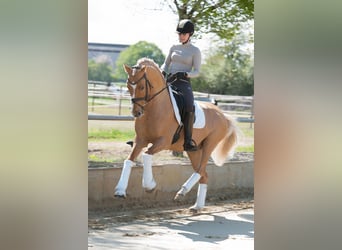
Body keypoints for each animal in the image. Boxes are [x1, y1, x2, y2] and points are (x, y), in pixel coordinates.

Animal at [113, 57, 239, 211]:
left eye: (142, 87)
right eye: (128, 87)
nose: (136, 113)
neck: (155, 108)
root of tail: (223, 115)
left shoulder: (164, 141)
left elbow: (146, 155)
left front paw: (149, 185)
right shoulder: (140, 140)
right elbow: (129, 160)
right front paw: (120, 191)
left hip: (210, 144)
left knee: (200, 169)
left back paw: (183, 191)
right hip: (194, 151)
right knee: (204, 174)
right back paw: (197, 206)